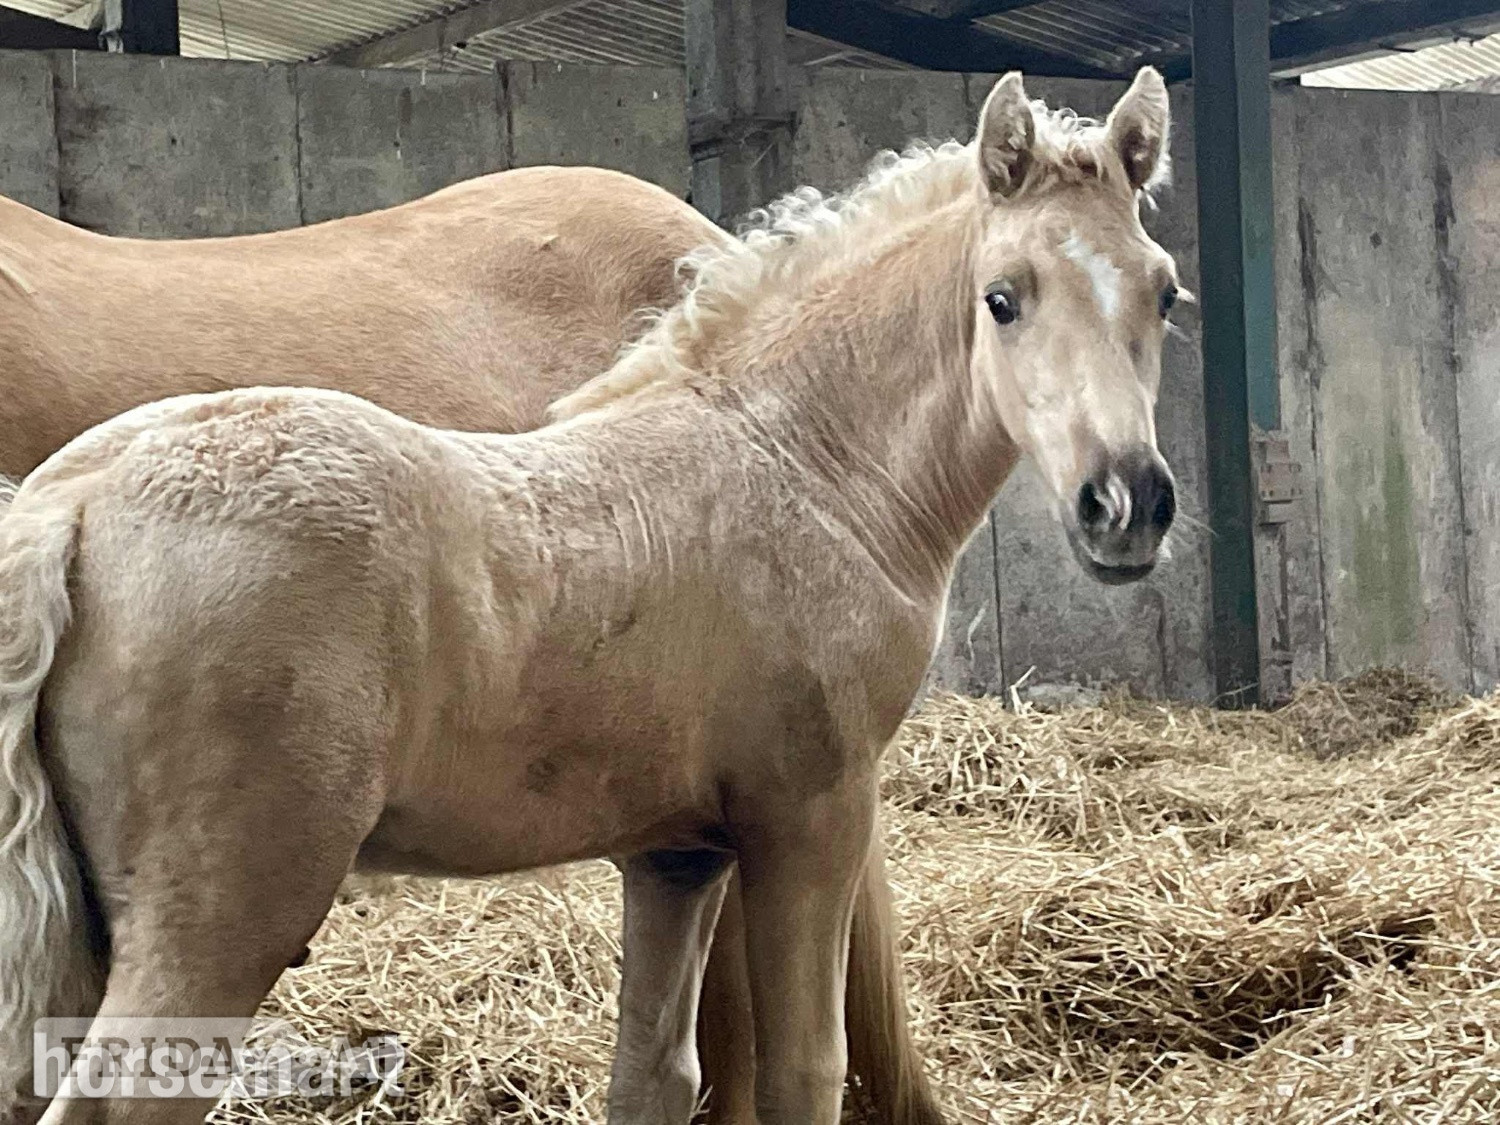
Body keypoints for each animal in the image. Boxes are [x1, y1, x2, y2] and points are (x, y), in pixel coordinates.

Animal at [0, 67, 1179, 1124]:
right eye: (1002, 298)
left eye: (1166, 292)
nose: (1126, 502)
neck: (798, 457)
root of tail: (74, 501)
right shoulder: (811, 812)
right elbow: (802, 1072)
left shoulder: (679, 854)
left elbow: (656, 1078)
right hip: (222, 913)